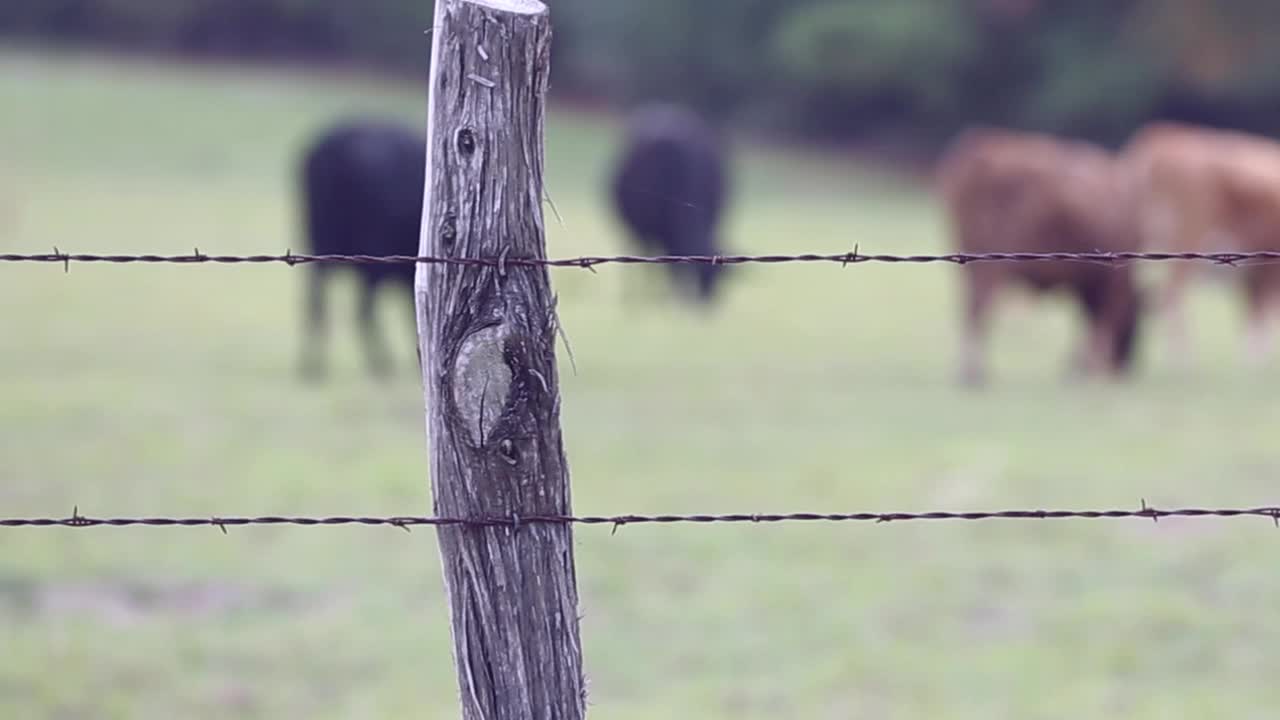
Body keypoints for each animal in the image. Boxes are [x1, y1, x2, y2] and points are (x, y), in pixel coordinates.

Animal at [936, 128, 1146, 386]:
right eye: (1136, 319)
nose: (1123, 367)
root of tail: (981, 148)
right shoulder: (1112, 285)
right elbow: (1100, 324)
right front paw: (1088, 368)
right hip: (989, 265)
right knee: (979, 308)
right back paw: (975, 373)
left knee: (970, 309)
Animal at [1126, 121, 1280, 363]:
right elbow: (1263, 312)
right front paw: (1258, 358)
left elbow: (1256, 312)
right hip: (1187, 236)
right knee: (1171, 295)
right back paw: (1181, 357)